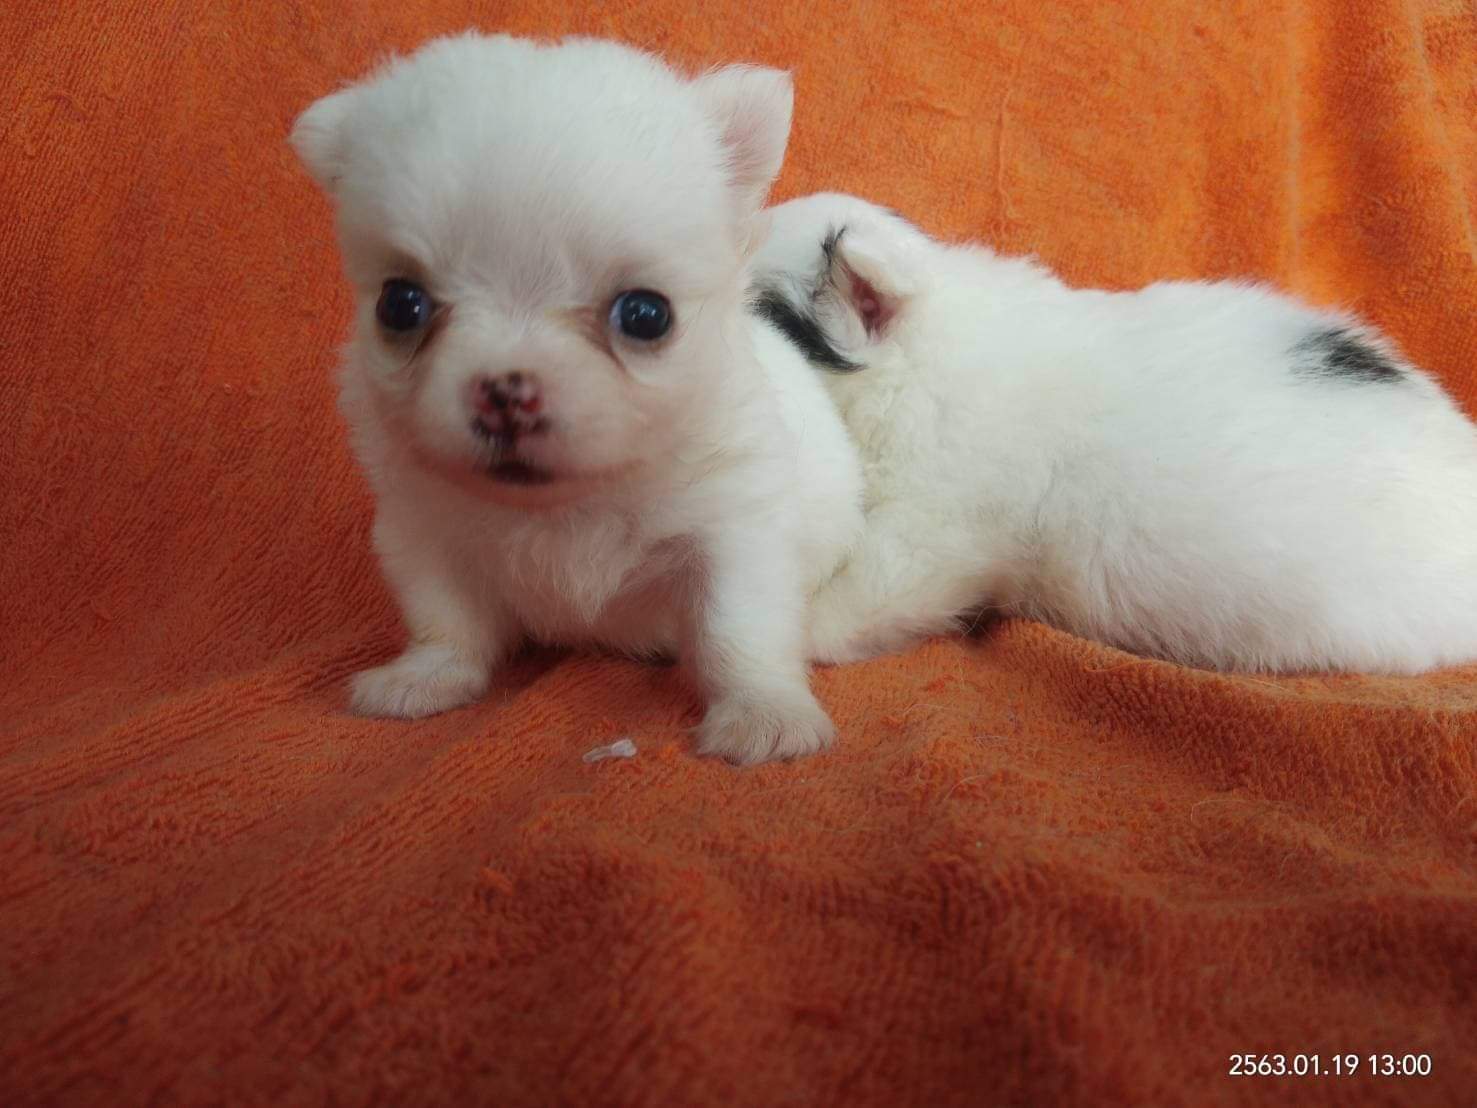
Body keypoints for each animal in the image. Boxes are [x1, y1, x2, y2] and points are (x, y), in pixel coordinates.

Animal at [291, 35, 865, 764]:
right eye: (400, 304)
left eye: (646, 315)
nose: (506, 391)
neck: (566, 506)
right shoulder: (422, 530)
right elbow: (446, 618)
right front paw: (427, 677)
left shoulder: (735, 531)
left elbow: (738, 630)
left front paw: (764, 712)